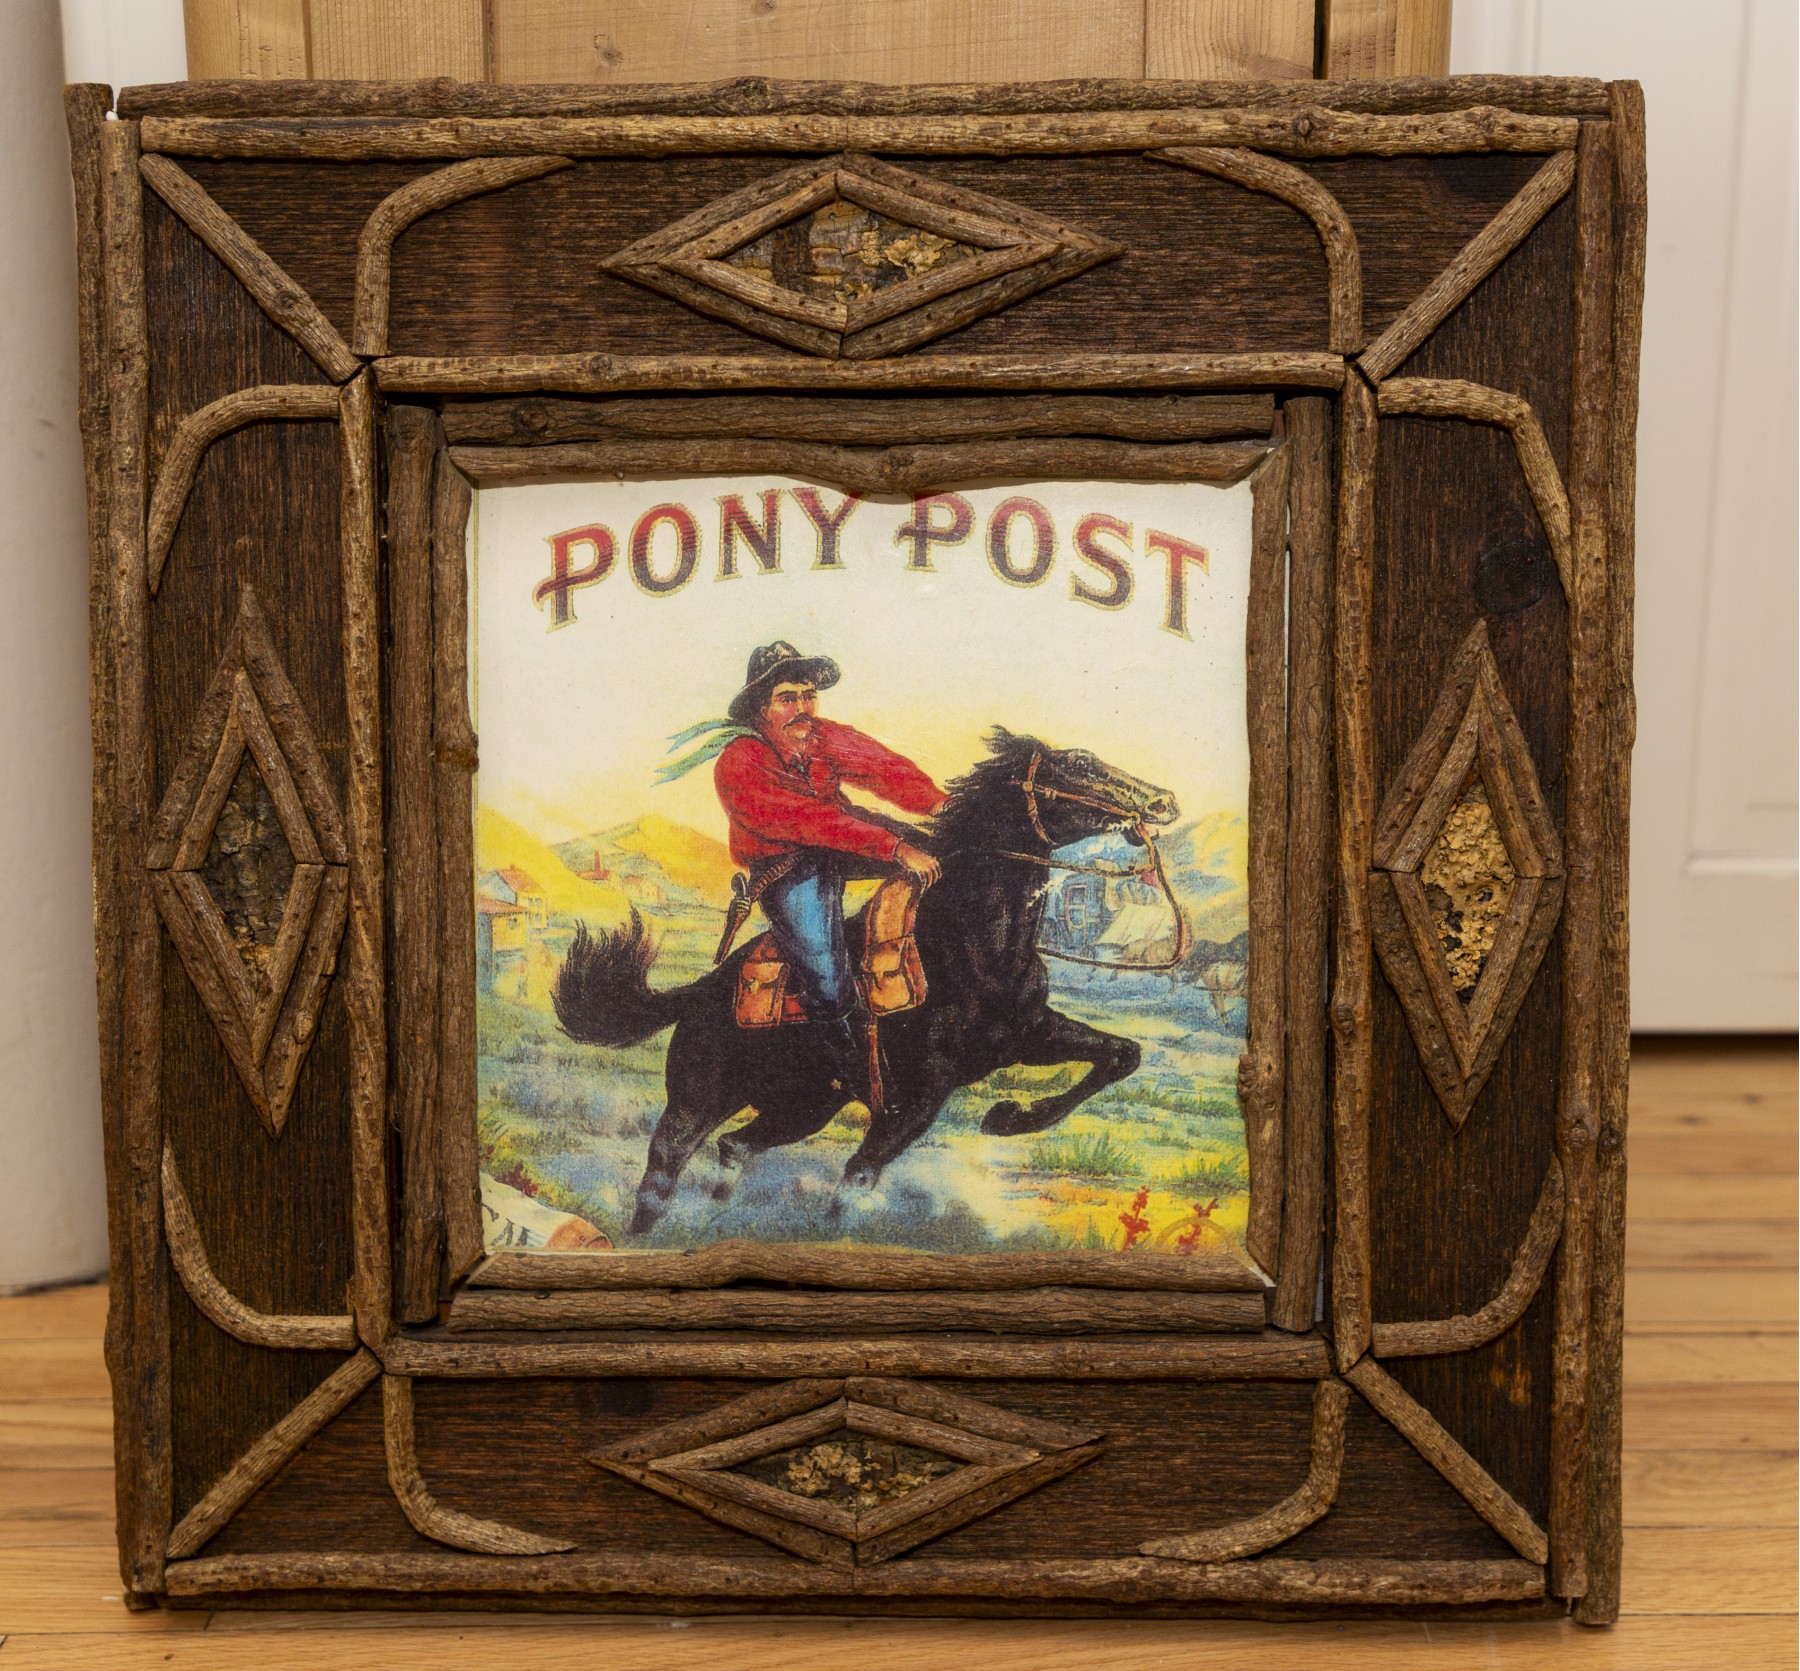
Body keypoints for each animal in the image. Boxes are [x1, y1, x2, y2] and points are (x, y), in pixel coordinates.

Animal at [551, 728, 1180, 1235]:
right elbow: (855, 1180)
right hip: (698, 1100)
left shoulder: (1029, 1036)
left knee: (736, 1146)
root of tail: (698, 992)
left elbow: (1122, 1054)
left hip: (804, 1106)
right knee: (661, 1175)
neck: (969, 944)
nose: (1163, 800)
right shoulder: (915, 1098)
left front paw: (1010, 1117)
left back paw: (720, 1209)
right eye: (1078, 763)